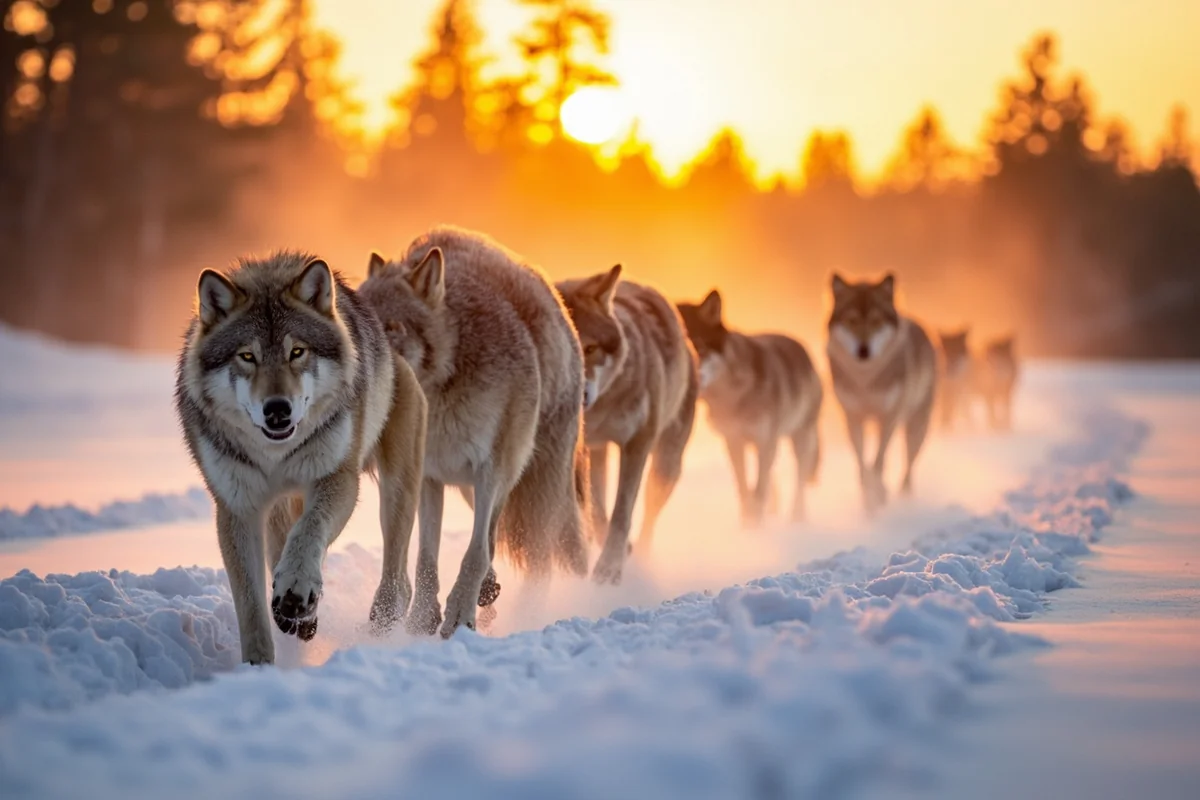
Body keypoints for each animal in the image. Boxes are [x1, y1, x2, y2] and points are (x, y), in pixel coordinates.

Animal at [175, 252, 427, 665]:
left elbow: (310, 531)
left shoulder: (337, 478)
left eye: (297, 352)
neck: (275, 454)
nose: (277, 409)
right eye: (247, 356)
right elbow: (250, 602)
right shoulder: (237, 506)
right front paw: (258, 664)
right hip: (280, 505)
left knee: (397, 576)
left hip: (396, 494)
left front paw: (296, 589)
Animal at [359, 226, 590, 638]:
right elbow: (426, 559)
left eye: (392, 328)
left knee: (539, 559)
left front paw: (458, 616)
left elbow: (475, 552)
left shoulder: (492, 468)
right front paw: (421, 620)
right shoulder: (429, 477)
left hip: (536, 488)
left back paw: (529, 611)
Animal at [556, 265, 698, 584]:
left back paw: (642, 556)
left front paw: (609, 569)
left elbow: (622, 513)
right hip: (598, 454)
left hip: (665, 468)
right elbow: (596, 512)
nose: (580, 395)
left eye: (590, 348)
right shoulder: (578, 451)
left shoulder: (637, 444)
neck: (602, 409)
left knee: (649, 515)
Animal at [677, 290, 823, 526]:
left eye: (698, 346)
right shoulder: (734, 442)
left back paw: (797, 519)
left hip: (799, 438)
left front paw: (755, 526)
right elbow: (745, 488)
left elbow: (758, 490)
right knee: (771, 478)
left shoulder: (764, 441)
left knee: (798, 480)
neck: (732, 399)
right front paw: (749, 525)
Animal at [826, 273, 937, 514]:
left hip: (916, 427)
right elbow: (862, 462)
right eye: (852, 321)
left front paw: (878, 494)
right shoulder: (852, 417)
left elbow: (878, 461)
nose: (863, 350)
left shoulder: (888, 417)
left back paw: (906, 498)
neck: (865, 381)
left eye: (876, 321)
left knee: (909, 464)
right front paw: (869, 496)